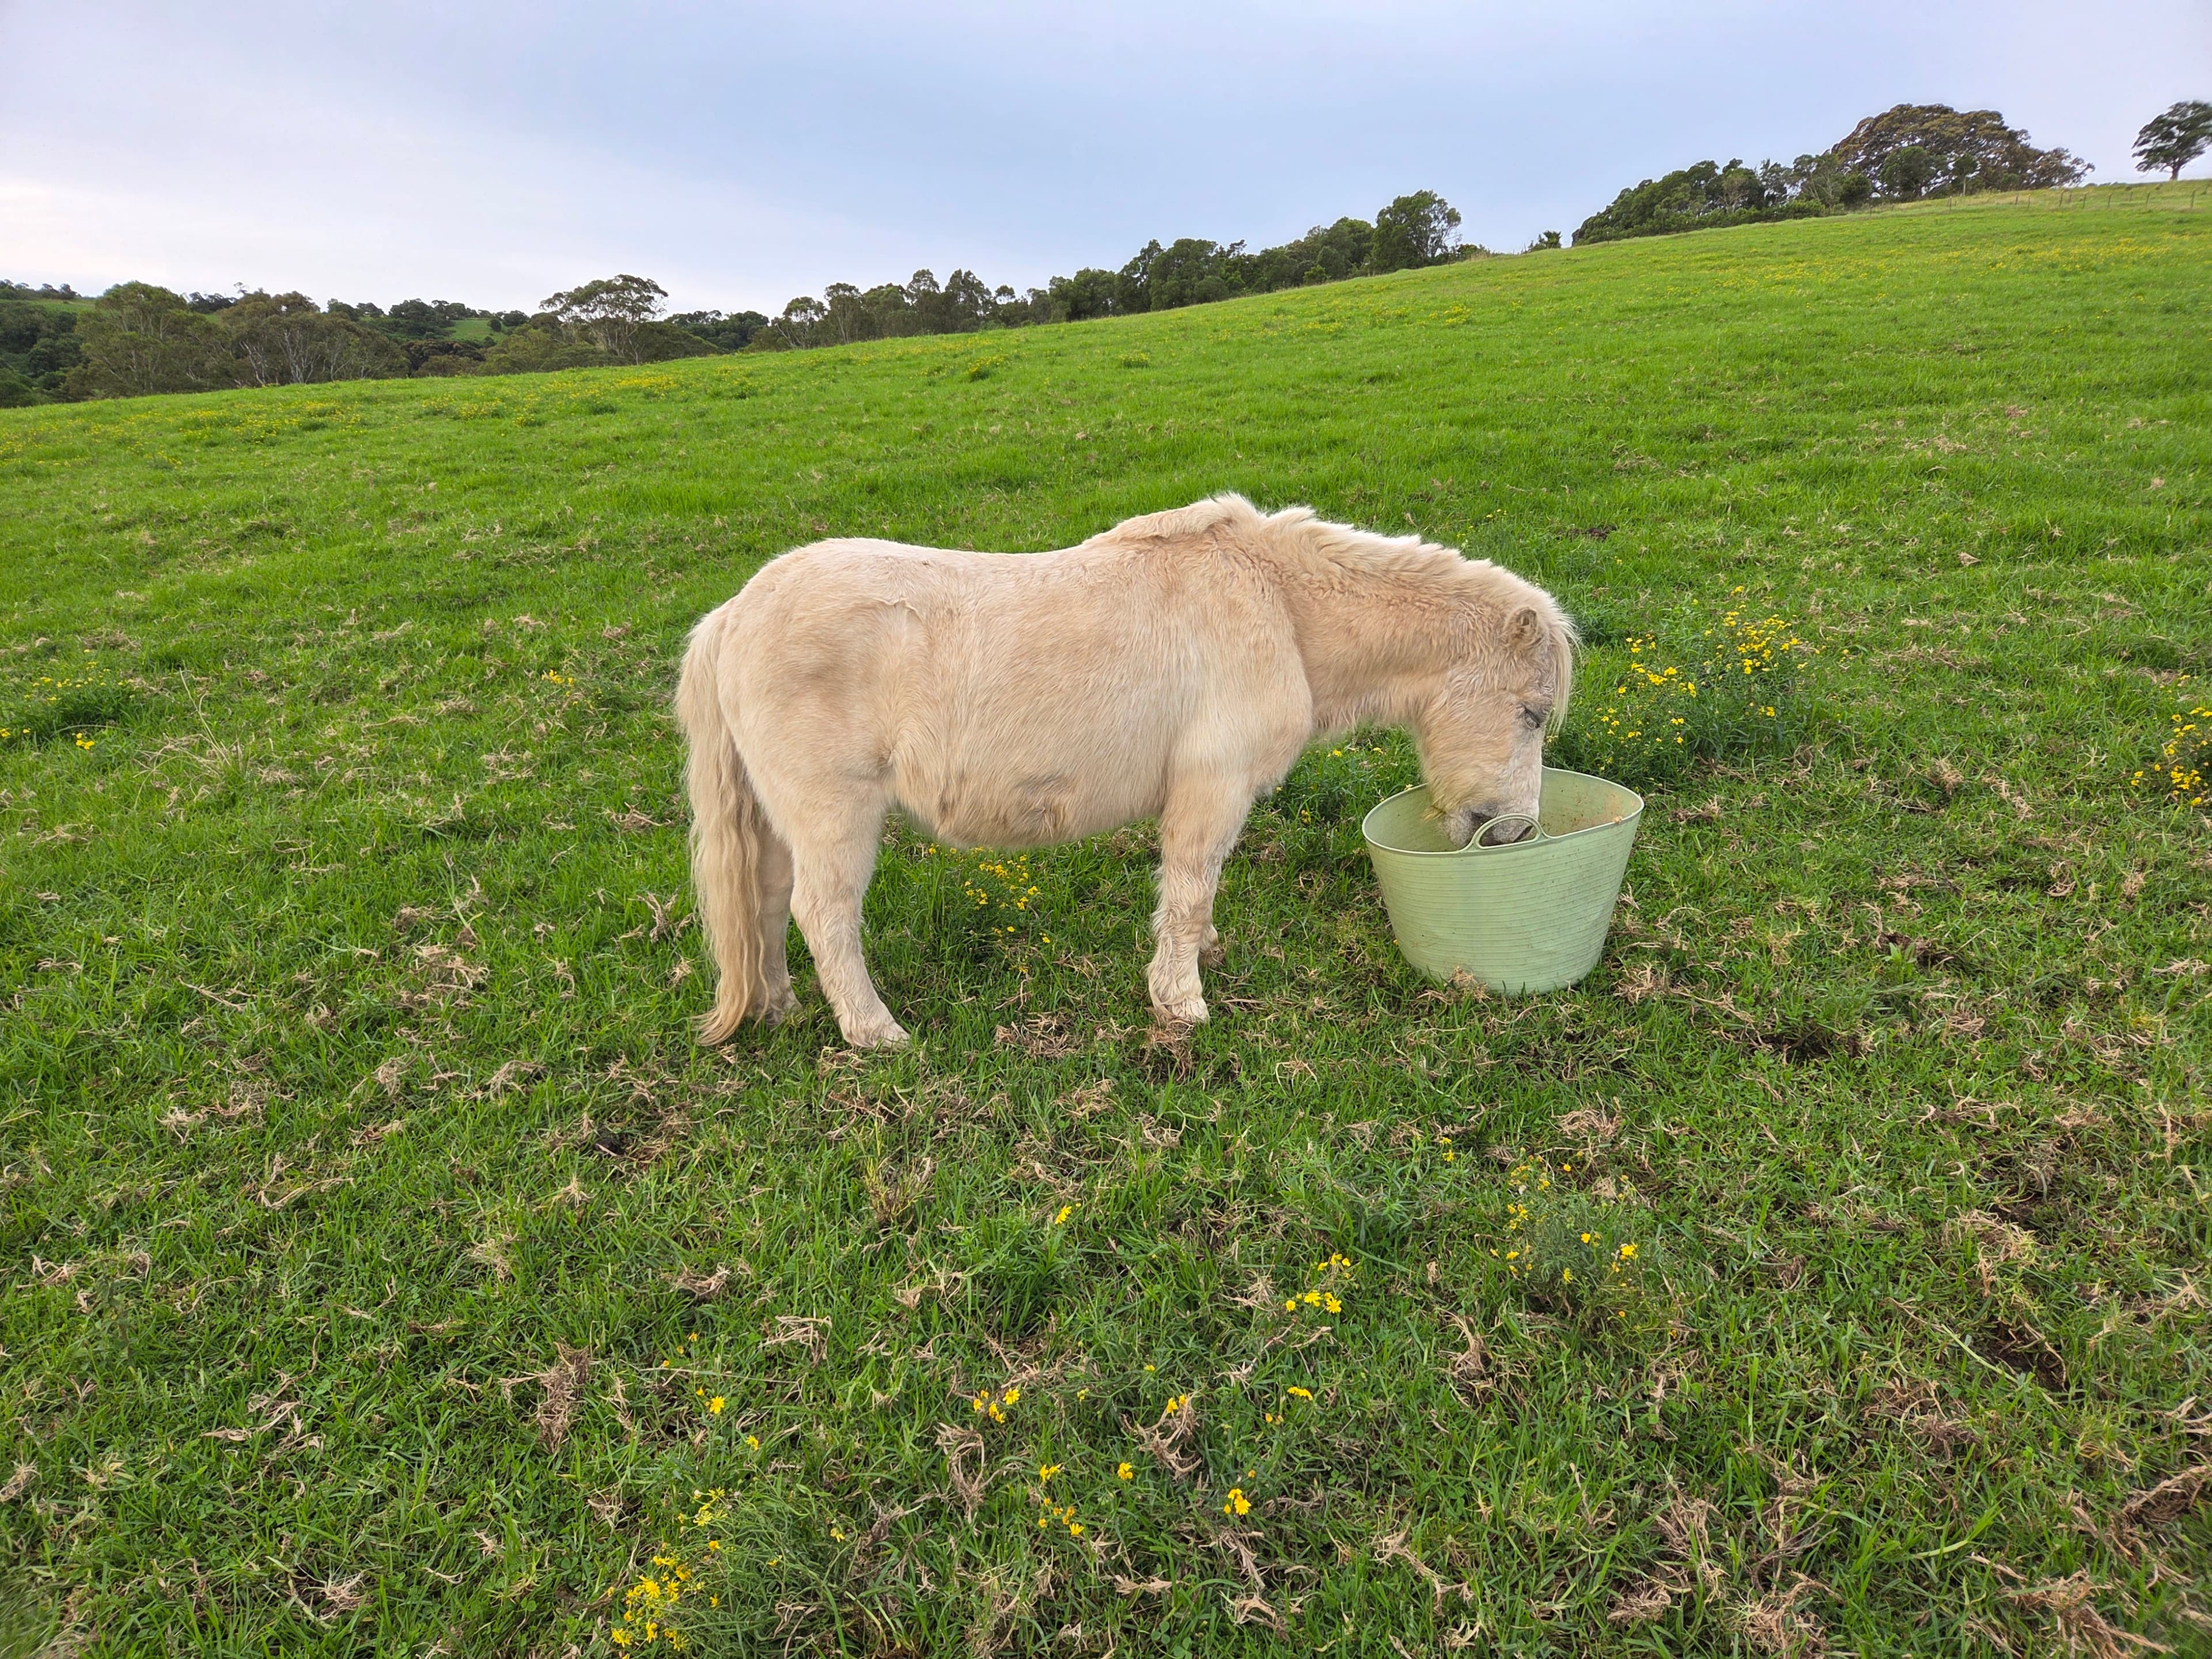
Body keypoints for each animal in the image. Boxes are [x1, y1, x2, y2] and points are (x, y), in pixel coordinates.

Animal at [675, 494, 1576, 1048]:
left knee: (764, 905)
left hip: (778, 819)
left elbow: (1199, 889)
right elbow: (1189, 886)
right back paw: (875, 1034)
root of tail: (733, 616)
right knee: (822, 915)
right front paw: (1182, 1002)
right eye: (1533, 713)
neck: (1278, 605)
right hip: (834, 814)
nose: (1513, 833)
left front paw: (1203, 959)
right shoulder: (1211, 789)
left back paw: (783, 1009)